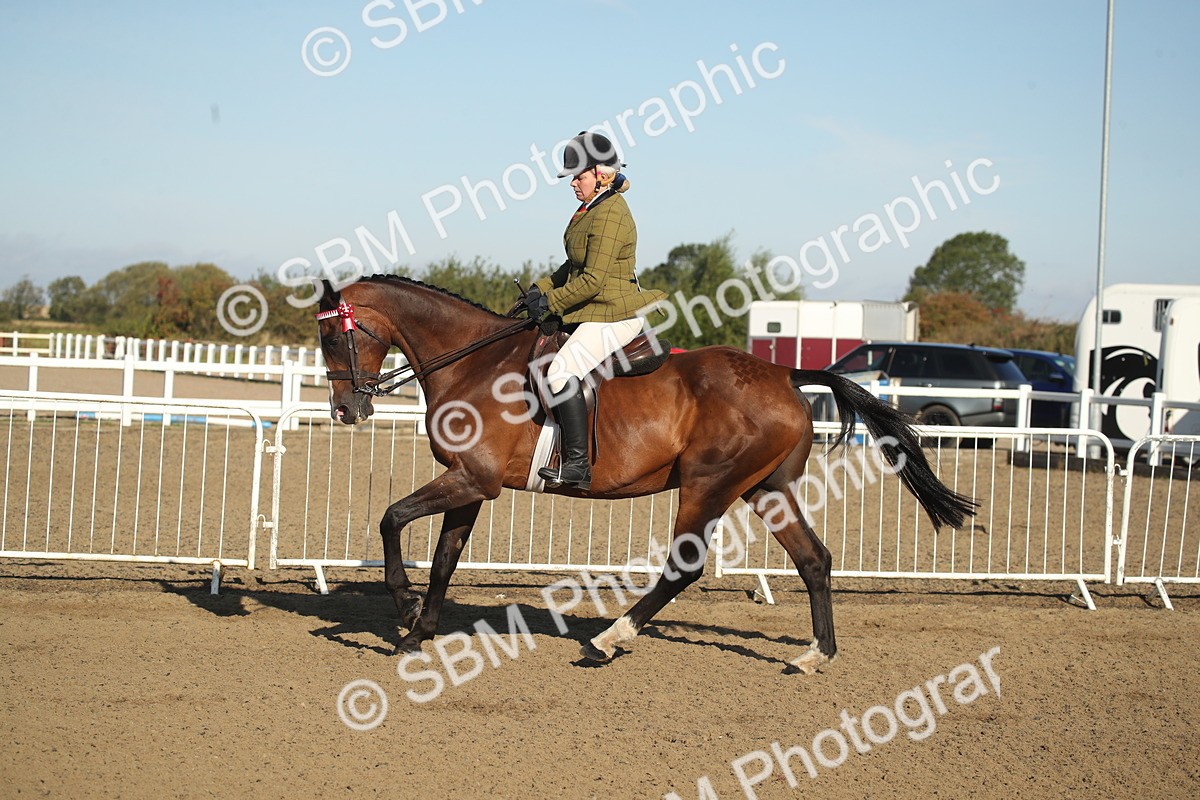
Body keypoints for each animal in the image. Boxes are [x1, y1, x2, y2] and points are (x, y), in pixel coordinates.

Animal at [312, 275, 976, 673]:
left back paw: (608, 641)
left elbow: (391, 518)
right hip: (766, 489)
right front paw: (417, 631)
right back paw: (816, 654)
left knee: (685, 567)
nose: (345, 411)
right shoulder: (469, 484)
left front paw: (401, 606)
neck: (475, 362)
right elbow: (445, 557)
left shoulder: (474, 479)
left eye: (332, 338)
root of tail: (785, 374)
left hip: (709, 487)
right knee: (815, 559)